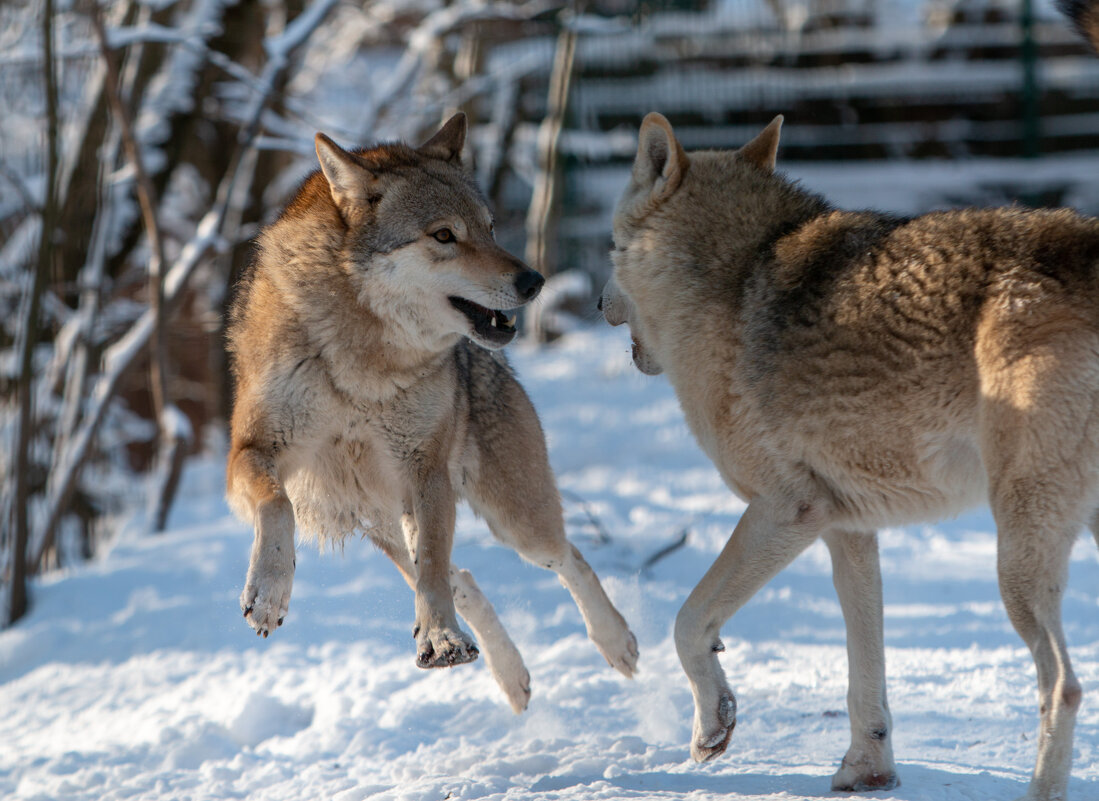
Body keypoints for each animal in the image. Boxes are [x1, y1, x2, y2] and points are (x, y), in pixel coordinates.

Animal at [227, 114, 641, 711]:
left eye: (490, 228)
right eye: (444, 235)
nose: (534, 282)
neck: (363, 356)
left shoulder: (426, 471)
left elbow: (435, 577)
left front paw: (442, 638)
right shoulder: (251, 452)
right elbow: (276, 505)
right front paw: (267, 593)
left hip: (512, 518)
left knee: (562, 556)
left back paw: (615, 643)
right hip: (385, 523)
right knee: (462, 573)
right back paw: (511, 675)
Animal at [602, 3, 1099, 795]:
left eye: (609, 246)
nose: (594, 301)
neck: (731, 277)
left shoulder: (785, 509)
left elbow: (686, 622)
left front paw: (712, 726)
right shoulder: (847, 530)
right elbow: (866, 677)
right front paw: (867, 769)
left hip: (1016, 551)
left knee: (1064, 686)